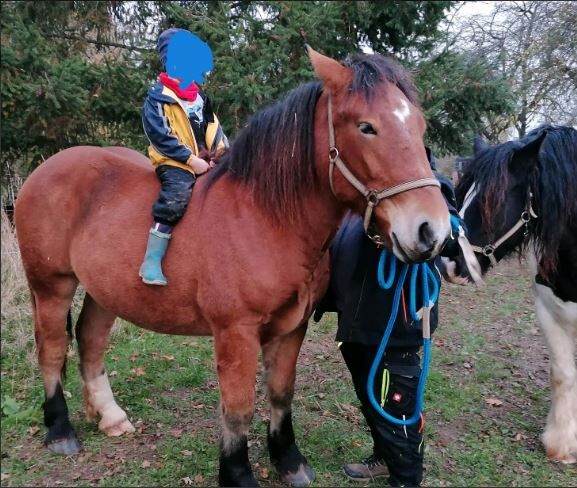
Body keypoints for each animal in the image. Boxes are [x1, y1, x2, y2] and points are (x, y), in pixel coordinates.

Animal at [13, 47, 450, 486]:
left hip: (104, 290)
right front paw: (236, 472)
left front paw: (288, 460)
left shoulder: (292, 328)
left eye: (420, 126)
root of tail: (45, 170)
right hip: (51, 285)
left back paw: (110, 417)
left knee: (90, 340)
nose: (432, 231)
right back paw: (60, 430)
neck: (265, 218)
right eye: (366, 127)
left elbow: (281, 393)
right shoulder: (236, 332)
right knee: (51, 349)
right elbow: (238, 407)